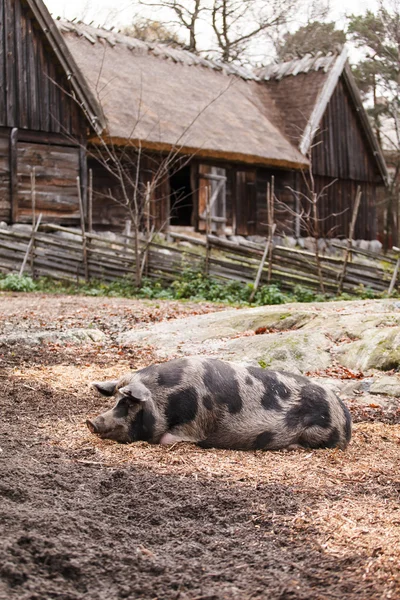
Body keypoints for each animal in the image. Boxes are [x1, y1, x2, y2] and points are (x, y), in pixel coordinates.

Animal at [86, 356, 352, 450]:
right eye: (116, 400)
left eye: (130, 403)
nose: (91, 422)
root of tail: (345, 415)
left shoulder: (195, 426)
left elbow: (167, 439)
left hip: (318, 432)